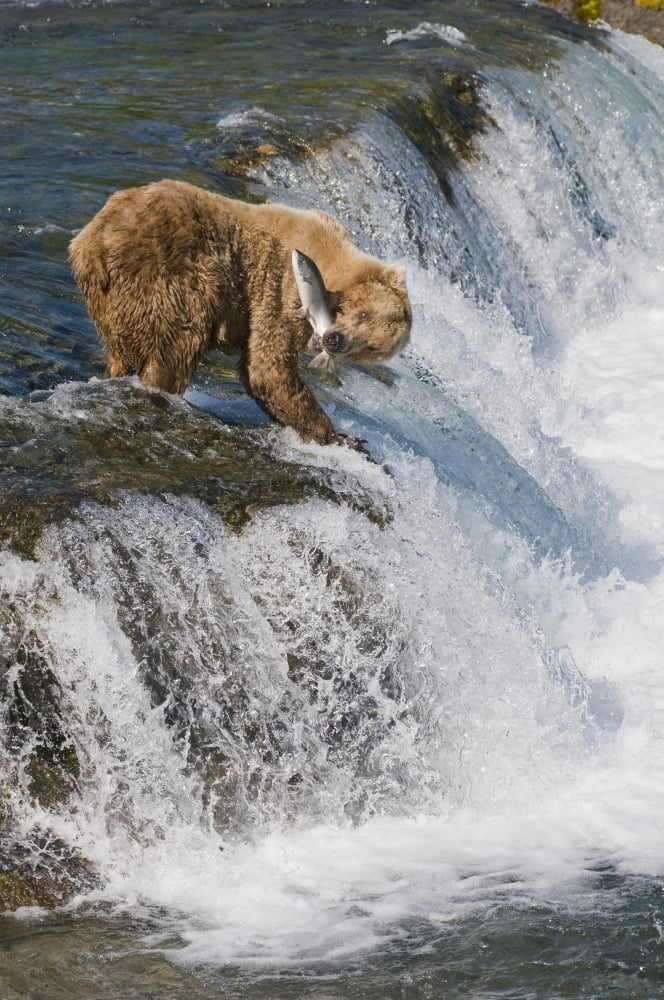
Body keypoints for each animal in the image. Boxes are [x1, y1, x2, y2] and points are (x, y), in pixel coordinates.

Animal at [69, 179, 412, 448]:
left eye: (371, 347)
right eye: (363, 314)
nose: (335, 340)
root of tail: (96, 240)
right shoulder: (280, 286)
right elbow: (269, 366)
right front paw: (340, 437)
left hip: (111, 301)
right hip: (165, 274)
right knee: (177, 344)